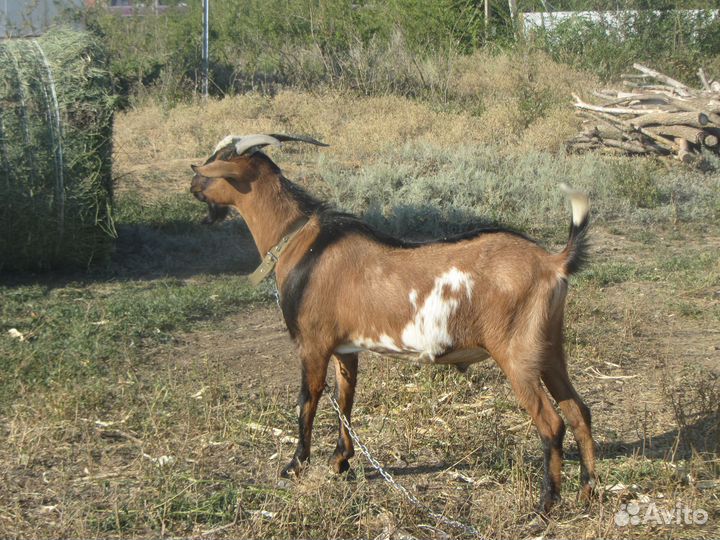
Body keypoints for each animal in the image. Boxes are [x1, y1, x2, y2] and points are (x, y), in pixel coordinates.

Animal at [190, 134, 597, 514]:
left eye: (216, 163)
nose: (192, 182)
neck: (300, 238)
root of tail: (553, 263)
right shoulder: (345, 348)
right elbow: (346, 399)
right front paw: (340, 461)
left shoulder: (312, 343)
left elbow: (308, 399)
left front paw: (295, 465)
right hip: (549, 348)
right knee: (579, 410)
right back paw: (587, 492)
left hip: (518, 355)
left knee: (552, 423)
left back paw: (546, 503)